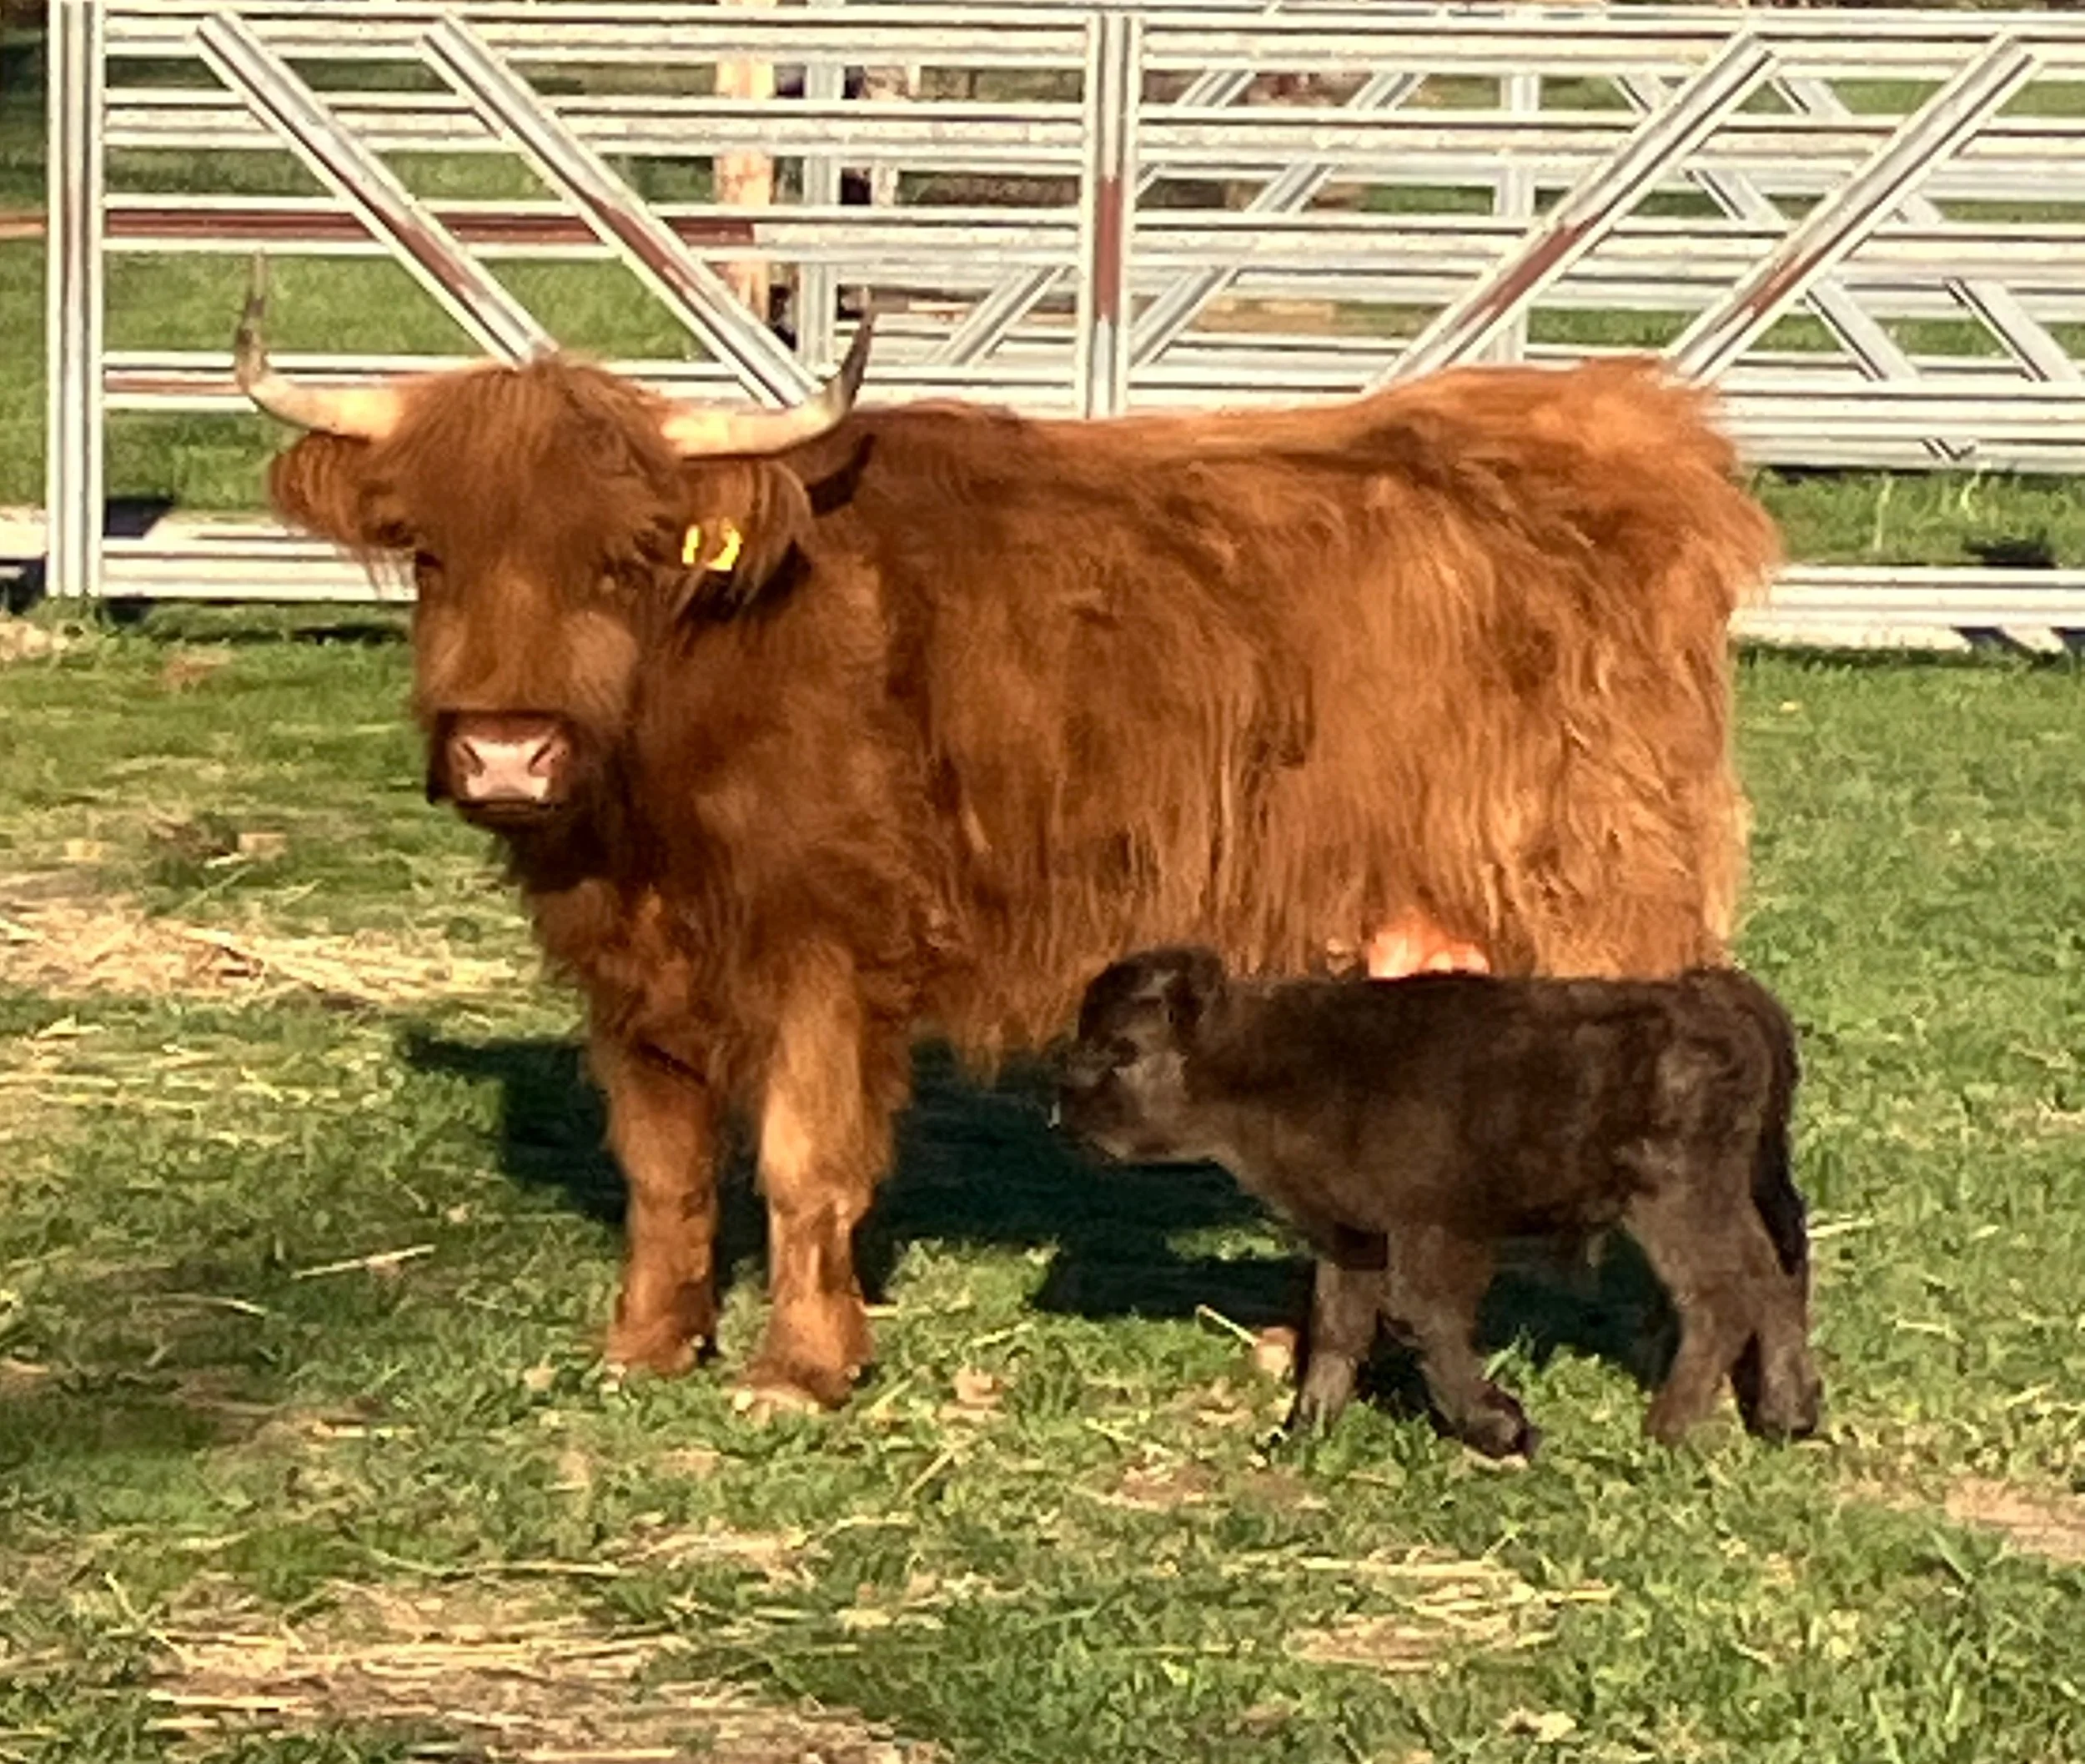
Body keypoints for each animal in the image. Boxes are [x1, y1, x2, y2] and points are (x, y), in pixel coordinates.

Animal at [230, 256, 1781, 1412]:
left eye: (624, 559)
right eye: (433, 553)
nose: (506, 749)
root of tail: (1628, 433)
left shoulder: (831, 948)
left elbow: (803, 1162)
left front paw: (802, 1368)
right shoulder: (629, 972)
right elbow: (664, 1173)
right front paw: (646, 1346)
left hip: (1601, 904)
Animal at [1057, 947, 1823, 1457]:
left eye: (1122, 1049)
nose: (1063, 1113)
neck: (1276, 1060)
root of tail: (1715, 997)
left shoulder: (1438, 1228)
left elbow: (1421, 1318)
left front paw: (1503, 1426)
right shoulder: (1351, 1235)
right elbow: (1337, 1328)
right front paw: (1301, 1434)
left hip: (1676, 1201)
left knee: (1724, 1295)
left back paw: (1663, 1430)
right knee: (1777, 1272)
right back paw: (1787, 1415)